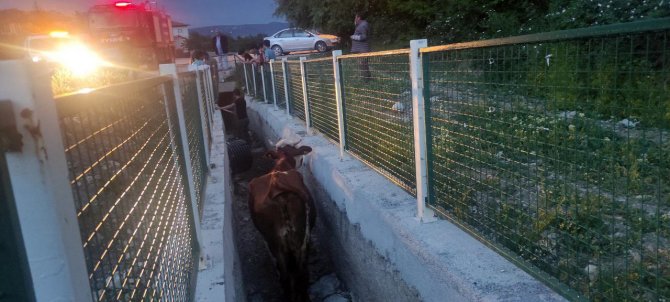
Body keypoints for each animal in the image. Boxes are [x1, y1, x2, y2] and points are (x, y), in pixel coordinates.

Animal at [249, 143, 318, 300]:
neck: (282, 165)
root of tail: (277, 182)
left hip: (276, 243)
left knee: (286, 276)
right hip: (300, 239)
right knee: (301, 272)